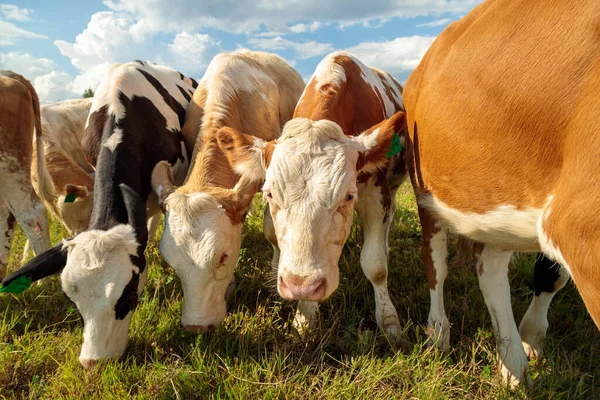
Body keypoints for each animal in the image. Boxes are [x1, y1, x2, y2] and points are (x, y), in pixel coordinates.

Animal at [213, 51, 406, 340]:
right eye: (269, 194)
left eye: (348, 196)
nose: (302, 286)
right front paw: (304, 316)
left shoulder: (375, 191)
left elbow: (376, 264)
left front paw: (389, 320)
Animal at [400, 0, 600, 388]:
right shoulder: (582, 223)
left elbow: (549, 271)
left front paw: (530, 341)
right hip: (427, 191)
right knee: (436, 261)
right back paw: (439, 333)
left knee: (490, 263)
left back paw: (515, 361)